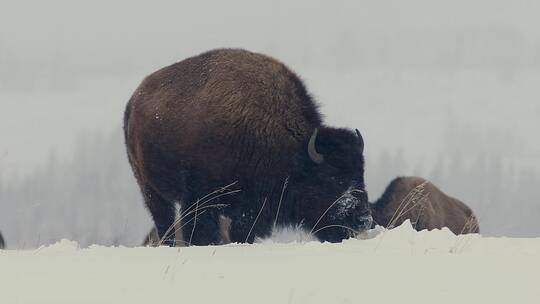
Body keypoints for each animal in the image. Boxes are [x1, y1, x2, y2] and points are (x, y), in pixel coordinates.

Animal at [125, 48, 372, 246]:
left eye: (361, 173)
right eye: (331, 178)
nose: (363, 219)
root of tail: (133, 102)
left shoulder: (251, 210)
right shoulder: (200, 200)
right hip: (150, 189)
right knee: (163, 221)